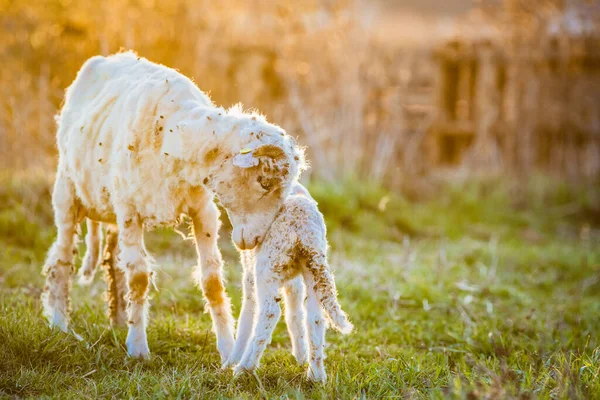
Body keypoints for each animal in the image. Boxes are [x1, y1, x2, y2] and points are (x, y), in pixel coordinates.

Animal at [42, 50, 304, 362]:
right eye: (264, 182)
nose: (254, 240)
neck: (172, 133)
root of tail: (108, 57)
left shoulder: (203, 210)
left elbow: (212, 280)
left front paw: (227, 350)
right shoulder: (130, 210)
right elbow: (139, 277)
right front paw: (138, 348)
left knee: (114, 262)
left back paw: (118, 320)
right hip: (68, 192)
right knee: (61, 257)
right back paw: (60, 324)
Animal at [224, 183, 354, 382]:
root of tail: (303, 225)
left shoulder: (250, 275)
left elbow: (247, 316)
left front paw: (231, 361)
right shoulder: (294, 282)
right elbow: (294, 314)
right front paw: (300, 356)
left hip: (267, 265)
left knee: (269, 312)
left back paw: (243, 368)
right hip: (313, 267)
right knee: (315, 318)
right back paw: (315, 376)